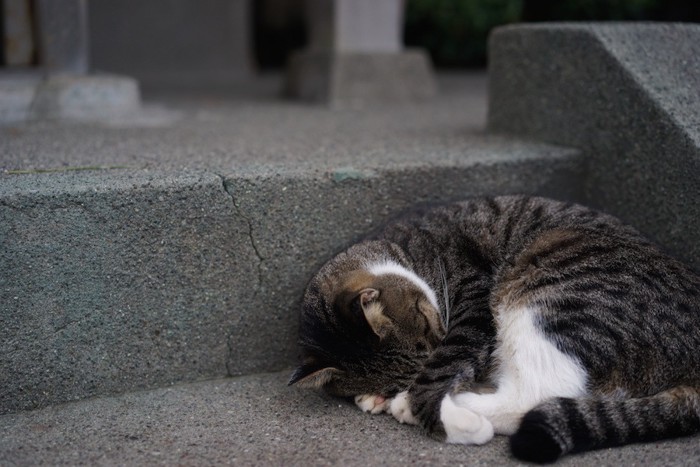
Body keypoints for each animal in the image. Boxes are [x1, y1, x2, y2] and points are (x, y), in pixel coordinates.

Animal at [290, 196, 700, 462]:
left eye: (429, 328)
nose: (438, 341)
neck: (404, 248)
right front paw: (378, 396)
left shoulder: (473, 303)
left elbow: (442, 371)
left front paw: (426, 408)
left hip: (553, 295)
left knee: (537, 392)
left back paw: (451, 410)